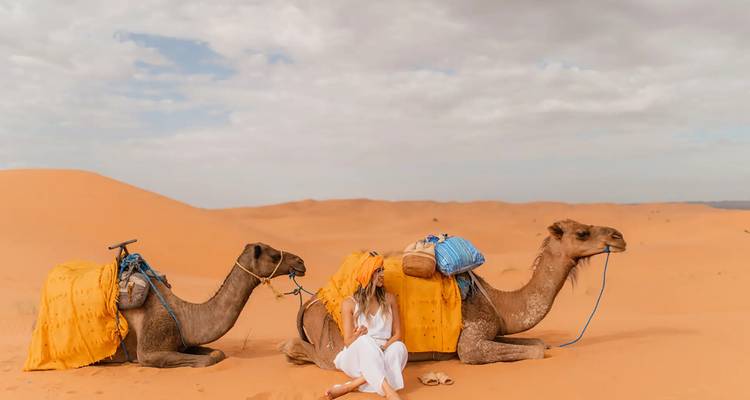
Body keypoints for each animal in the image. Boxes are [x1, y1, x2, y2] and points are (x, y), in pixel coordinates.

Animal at [106, 242, 306, 368]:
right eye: (274, 256)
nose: (301, 262)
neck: (184, 317)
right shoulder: (149, 352)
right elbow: (208, 360)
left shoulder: (185, 343)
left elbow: (217, 353)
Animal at [281, 219, 626, 367]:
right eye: (582, 232)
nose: (618, 236)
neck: (499, 302)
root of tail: (312, 300)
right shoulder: (471, 343)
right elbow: (535, 351)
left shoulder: (493, 329)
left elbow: (539, 342)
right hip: (334, 341)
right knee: (305, 351)